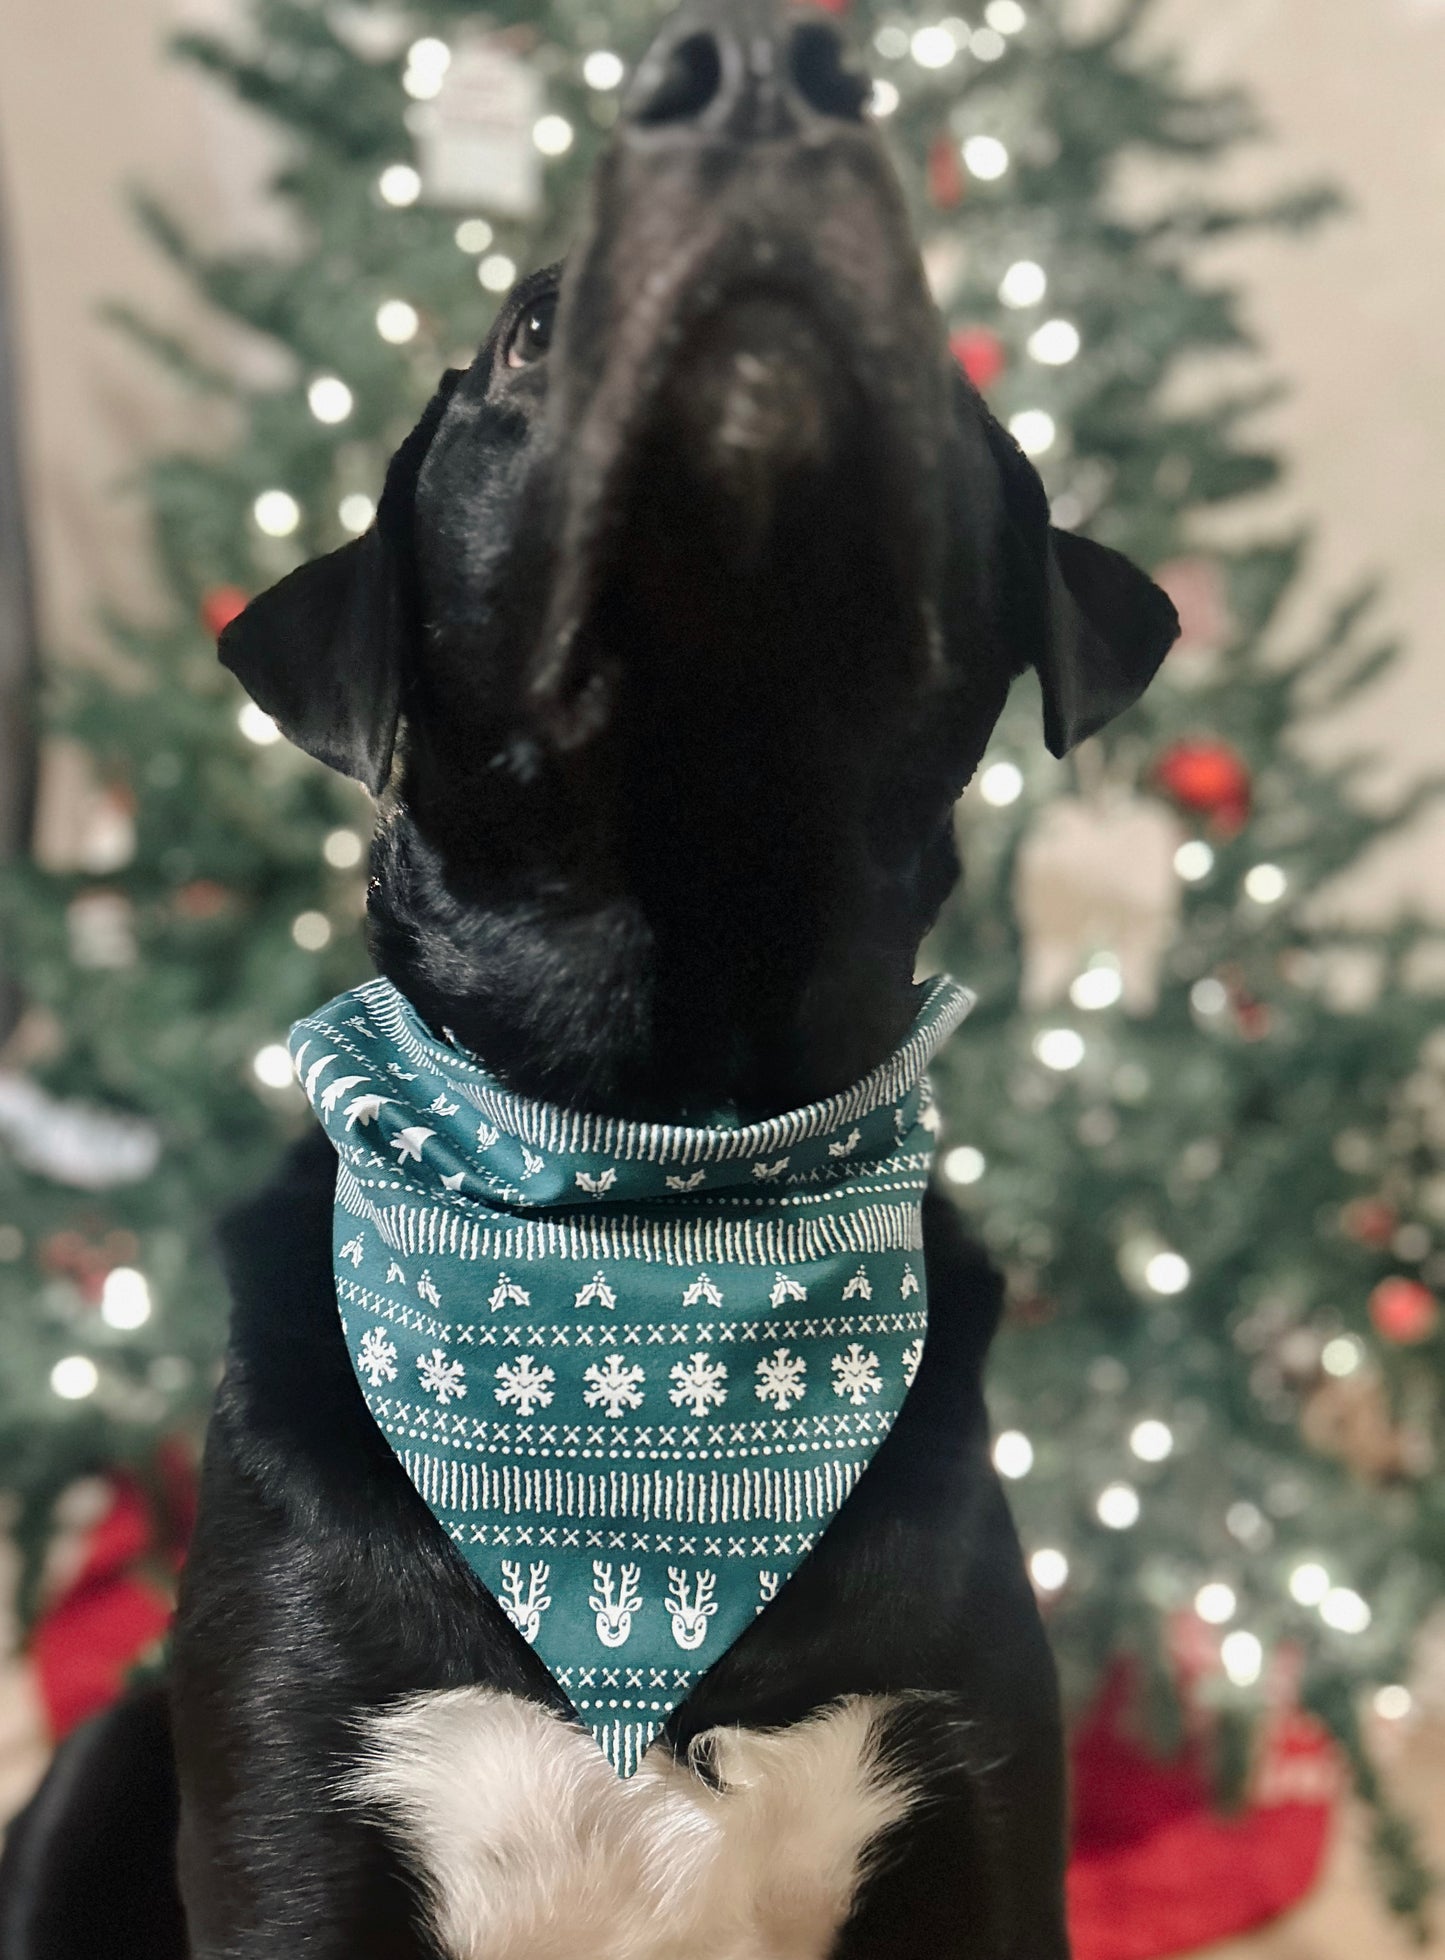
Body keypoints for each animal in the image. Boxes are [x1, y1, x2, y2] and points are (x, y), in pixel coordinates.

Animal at [0, 7, 1176, 1952]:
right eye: (531, 329)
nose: (767, 79)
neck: (651, 1160)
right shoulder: (289, 1802)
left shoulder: (986, 1811)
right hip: (103, 1755)